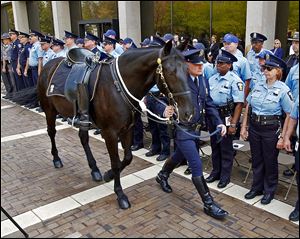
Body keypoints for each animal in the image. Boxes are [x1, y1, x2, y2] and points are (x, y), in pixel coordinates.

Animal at [37, 40, 193, 208]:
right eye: (170, 72)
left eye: (187, 70)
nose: (188, 112)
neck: (118, 86)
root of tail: (48, 64)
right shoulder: (110, 133)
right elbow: (116, 163)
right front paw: (120, 194)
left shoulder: (127, 129)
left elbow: (127, 158)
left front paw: (108, 175)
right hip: (49, 111)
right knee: (52, 132)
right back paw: (56, 159)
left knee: (83, 138)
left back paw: (94, 169)